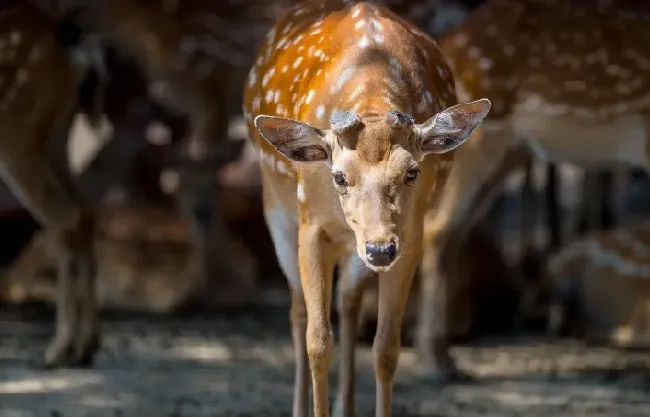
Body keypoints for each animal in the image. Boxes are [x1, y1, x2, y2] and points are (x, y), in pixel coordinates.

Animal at [246, 1, 488, 414]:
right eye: (339, 176)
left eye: (412, 172)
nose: (380, 249)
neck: (372, 96)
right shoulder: (311, 224)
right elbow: (317, 342)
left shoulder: (410, 234)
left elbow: (386, 347)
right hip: (277, 208)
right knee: (298, 309)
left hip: (357, 247)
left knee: (349, 302)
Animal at [408, 0, 650, 380]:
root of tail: (445, 45)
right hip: (488, 134)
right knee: (439, 229)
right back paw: (436, 362)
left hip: (514, 148)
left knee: (452, 229)